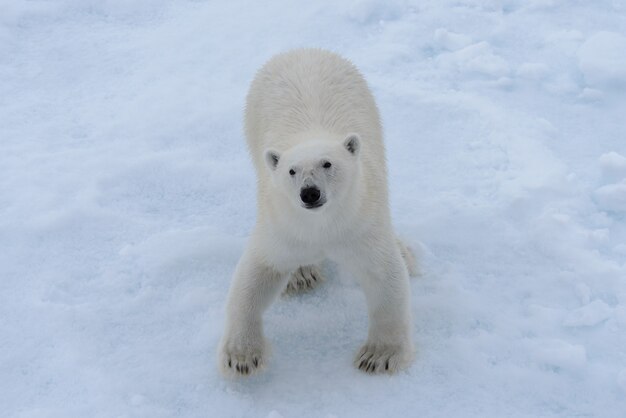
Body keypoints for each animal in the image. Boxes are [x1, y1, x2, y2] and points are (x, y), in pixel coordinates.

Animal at [217, 48, 416, 376]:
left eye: (327, 163)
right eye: (291, 171)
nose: (309, 193)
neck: (322, 227)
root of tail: (300, 50)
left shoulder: (361, 223)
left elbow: (383, 274)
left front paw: (378, 357)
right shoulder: (282, 226)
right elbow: (256, 274)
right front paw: (241, 357)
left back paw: (407, 254)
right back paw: (301, 275)